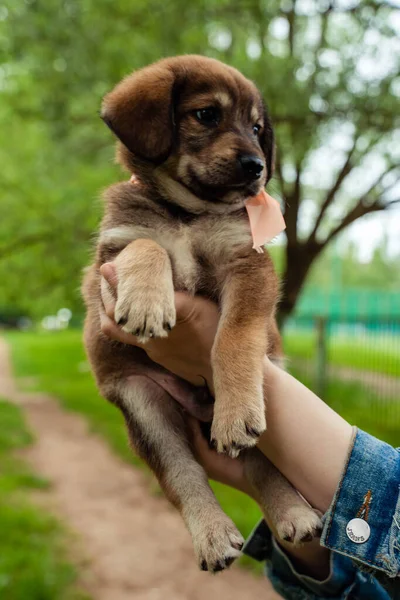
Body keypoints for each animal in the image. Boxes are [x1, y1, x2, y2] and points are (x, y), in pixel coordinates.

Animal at [82, 55, 322, 572]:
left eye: (257, 128)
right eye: (207, 115)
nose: (257, 167)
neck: (187, 214)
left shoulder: (247, 264)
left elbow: (233, 336)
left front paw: (235, 409)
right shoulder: (111, 258)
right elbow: (147, 243)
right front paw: (147, 302)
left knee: (262, 463)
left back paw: (293, 513)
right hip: (145, 405)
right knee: (181, 473)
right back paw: (212, 535)